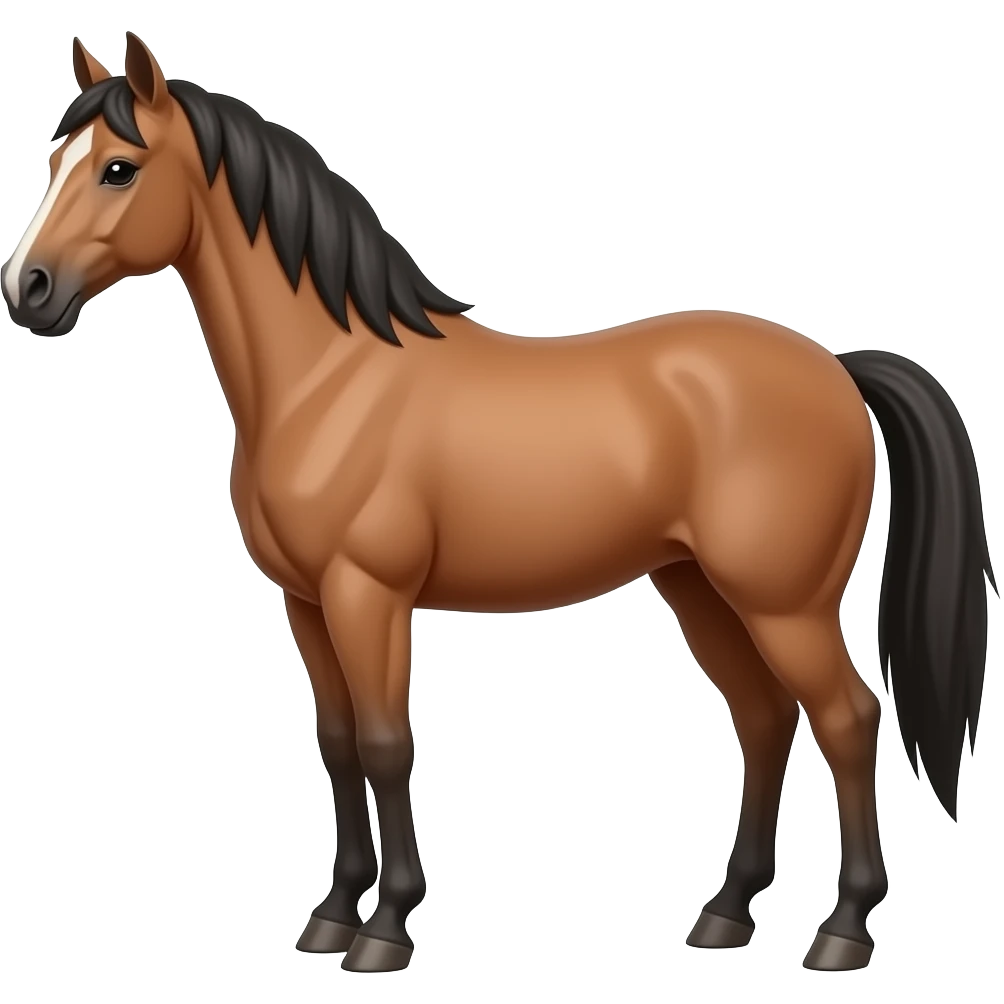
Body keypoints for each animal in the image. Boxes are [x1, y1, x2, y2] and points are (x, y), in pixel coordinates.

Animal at [2, 32, 995, 974]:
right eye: (55, 162)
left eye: (118, 167)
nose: (28, 291)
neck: (332, 377)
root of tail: (835, 366)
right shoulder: (307, 601)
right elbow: (336, 744)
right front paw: (332, 917)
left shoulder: (369, 595)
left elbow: (385, 744)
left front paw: (385, 931)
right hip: (700, 590)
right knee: (764, 720)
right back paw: (724, 914)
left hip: (784, 604)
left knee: (847, 720)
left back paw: (844, 931)